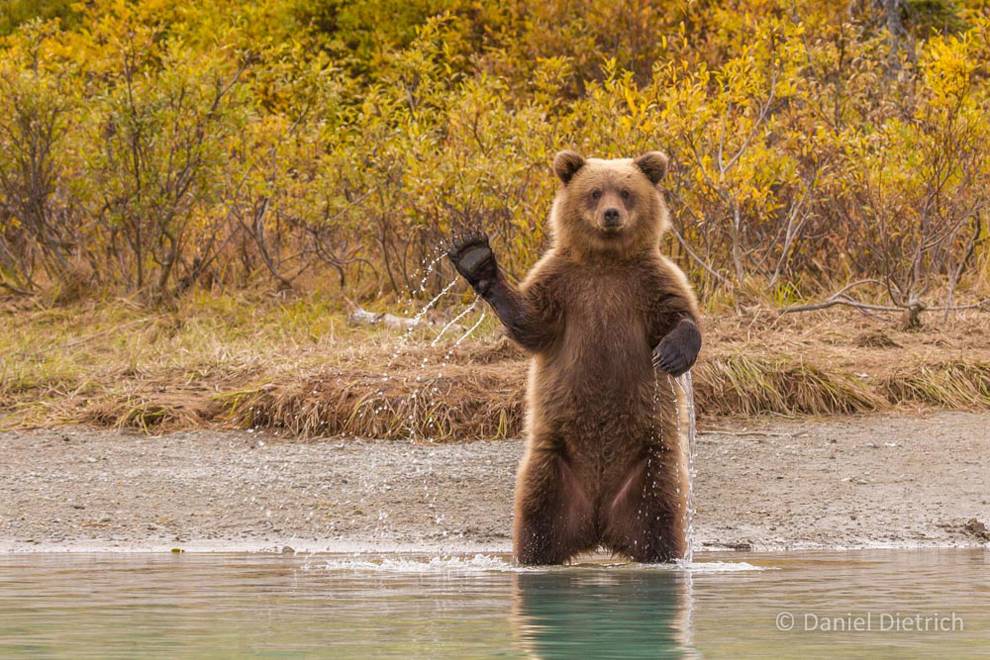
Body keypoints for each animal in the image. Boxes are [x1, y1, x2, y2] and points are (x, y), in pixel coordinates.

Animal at [446, 151, 700, 568]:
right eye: (594, 192)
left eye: (626, 192)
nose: (611, 214)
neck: (606, 261)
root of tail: (599, 524)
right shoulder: (563, 284)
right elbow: (530, 322)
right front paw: (476, 257)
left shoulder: (649, 282)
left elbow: (680, 314)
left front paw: (671, 354)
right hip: (554, 466)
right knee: (536, 518)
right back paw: (532, 557)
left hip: (650, 466)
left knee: (659, 519)